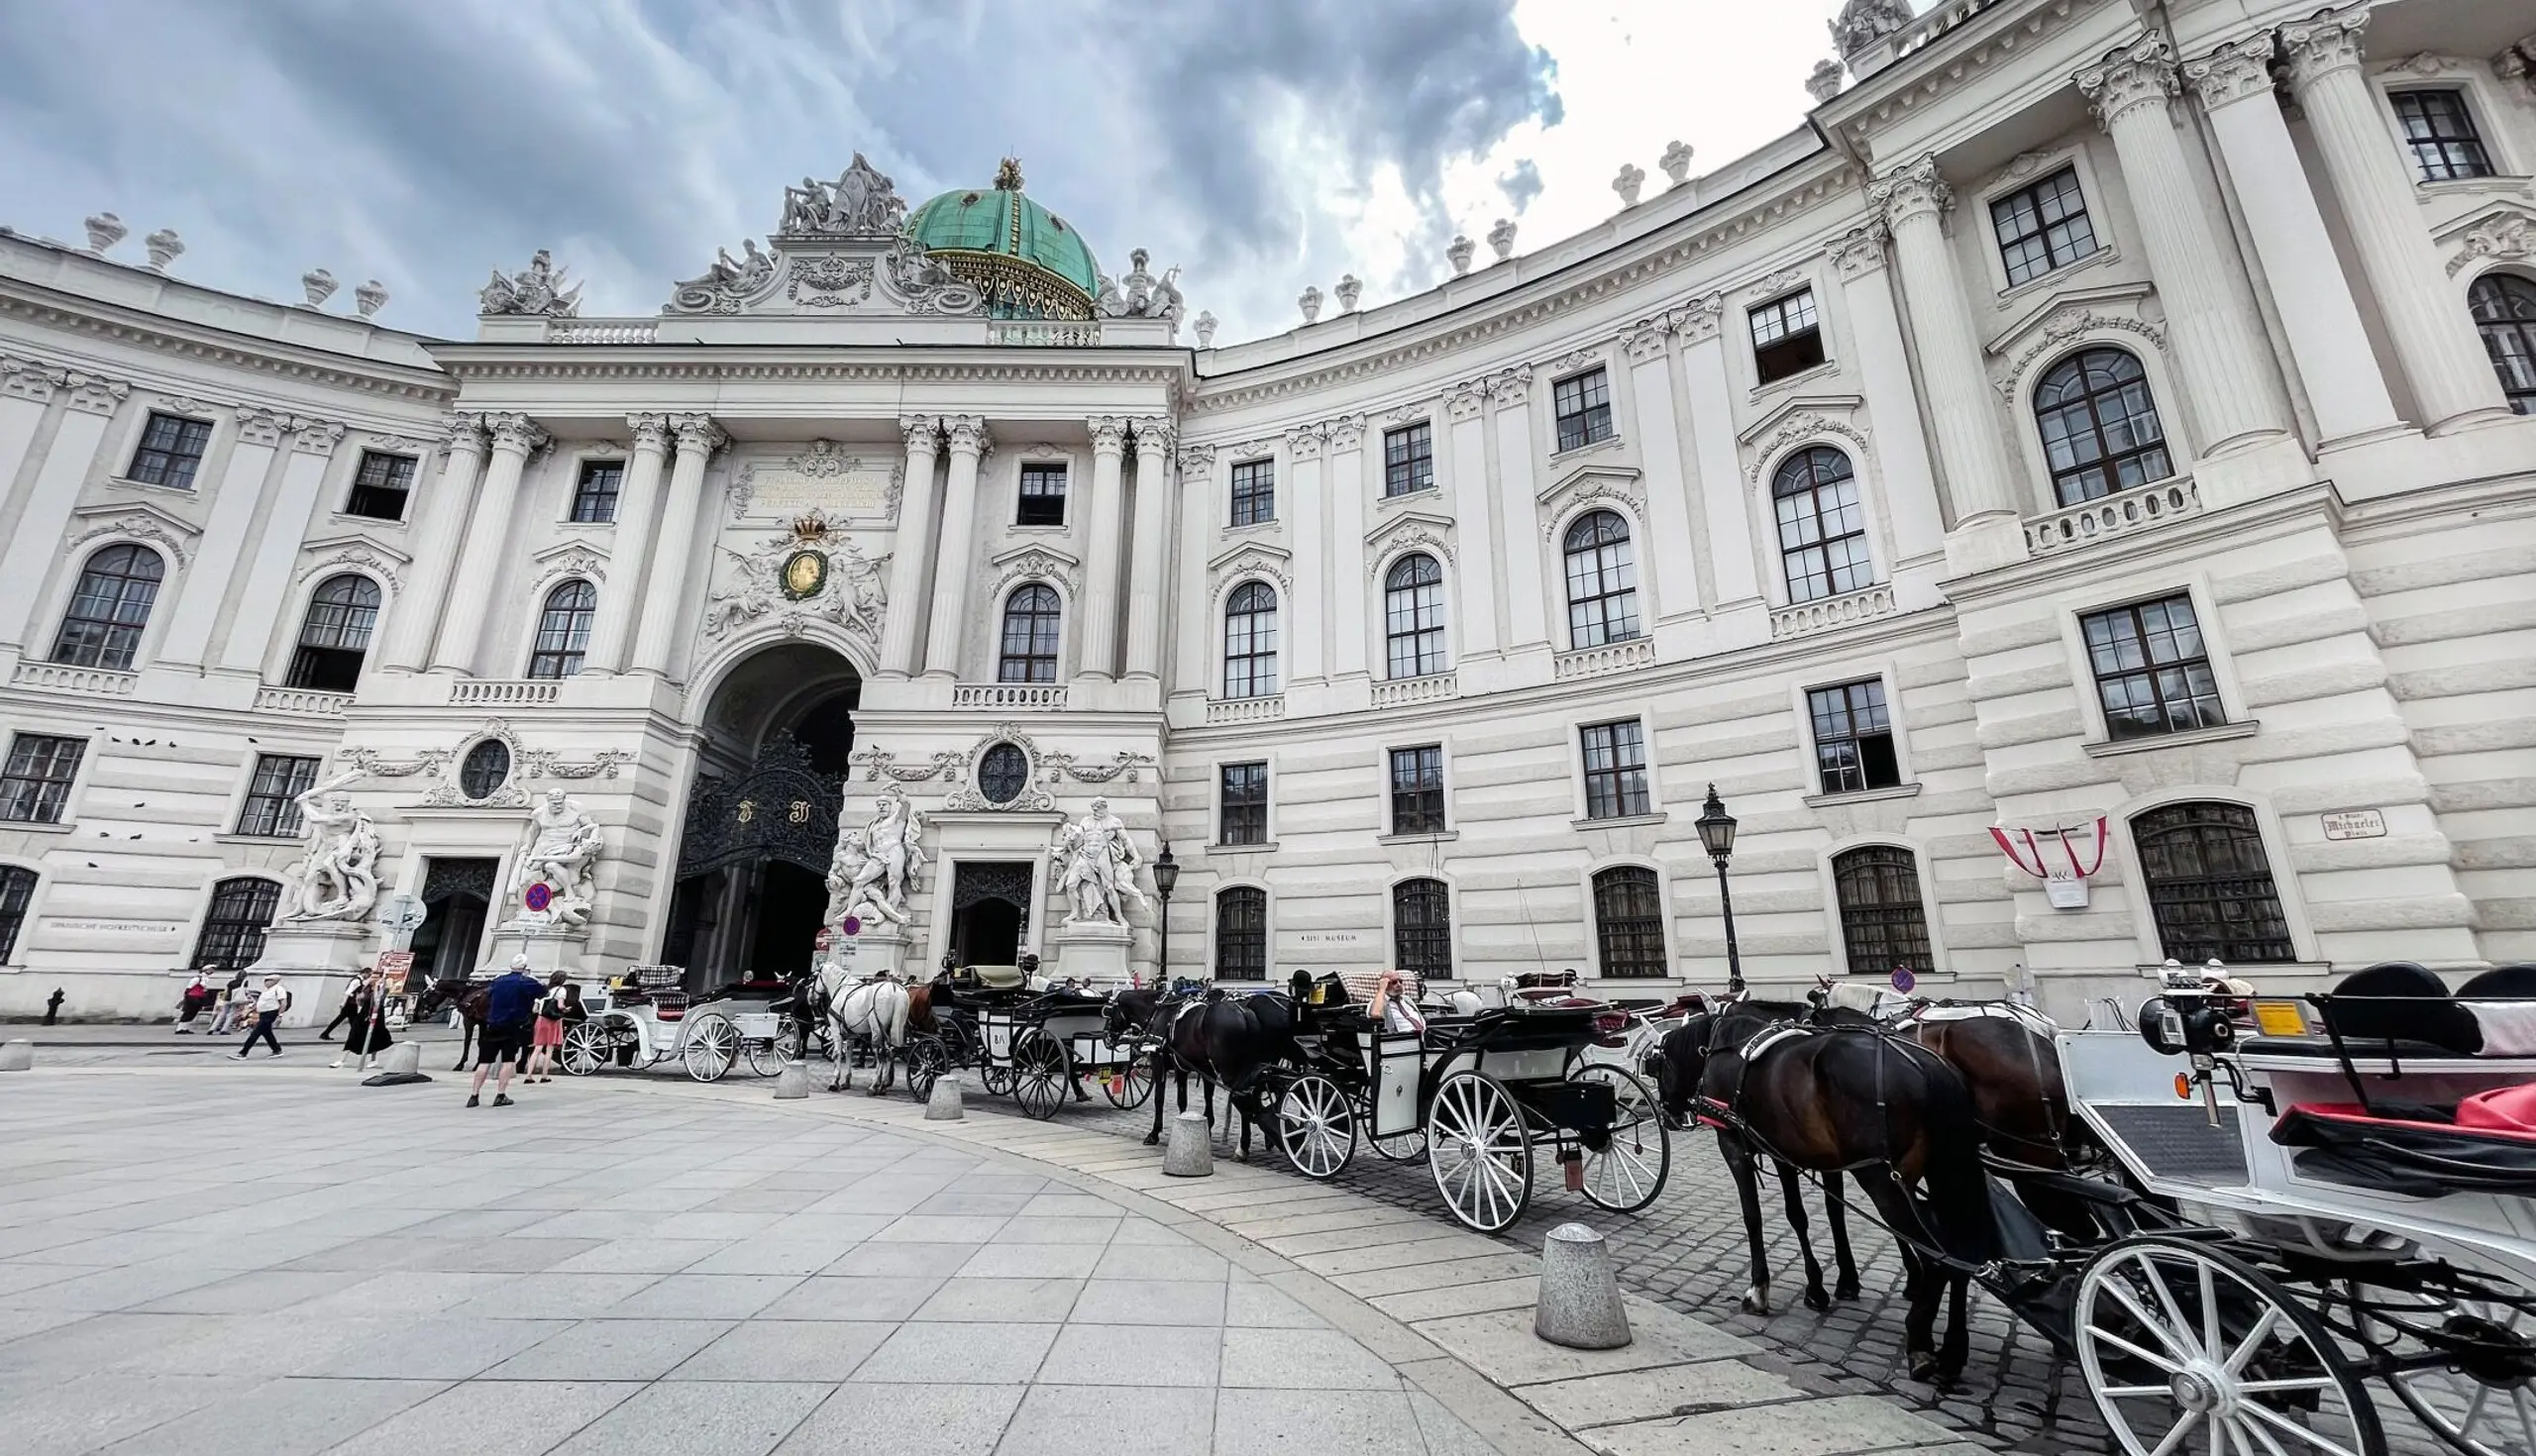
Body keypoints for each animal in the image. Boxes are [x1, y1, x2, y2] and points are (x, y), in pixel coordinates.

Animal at [811, 964, 912, 1100]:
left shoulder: (836, 1028)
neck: (842, 989)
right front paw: (846, 1081)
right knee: (890, 1053)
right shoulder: (850, 1034)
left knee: (881, 1055)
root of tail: (894, 989)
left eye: (813, 977)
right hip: (891, 1030)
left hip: (876, 1031)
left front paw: (834, 1082)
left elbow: (837, 1053)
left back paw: (873, 1086)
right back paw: (882, 1086)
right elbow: (848, 1053)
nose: (810, 999)